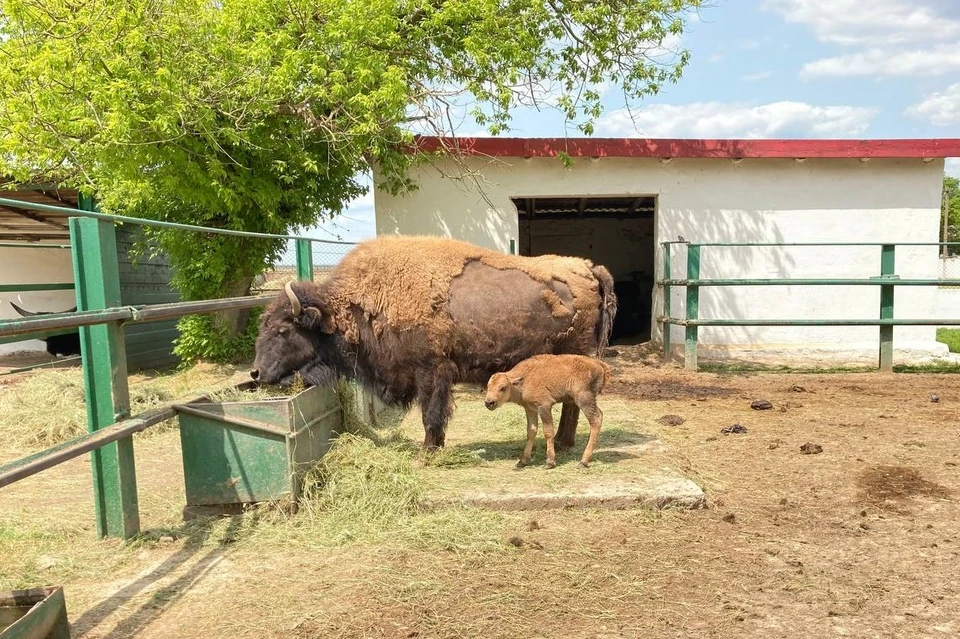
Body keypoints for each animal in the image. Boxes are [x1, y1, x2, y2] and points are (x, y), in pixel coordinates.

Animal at [251, 235, 620, 450]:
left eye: (283, 330)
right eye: (263, 325)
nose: (256, 373)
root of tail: (588, 269)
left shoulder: (430, 370)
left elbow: (431, 411)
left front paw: (428, 448)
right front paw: (435, 445)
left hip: (574, 355)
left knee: (573, 403)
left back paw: (564, 442)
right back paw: (563, 441)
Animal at [484, 352, 612, 468]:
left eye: (503, 387)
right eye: (488, 386)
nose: (489, 402)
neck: (524, 379)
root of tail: (598, 364)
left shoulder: (544, 407)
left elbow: (548, 432)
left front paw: (550, 462)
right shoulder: (530, 409)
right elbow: (531, 431)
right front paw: (523, 461)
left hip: (584, 399)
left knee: (595, 420)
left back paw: (583, 461)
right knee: (599, 416)